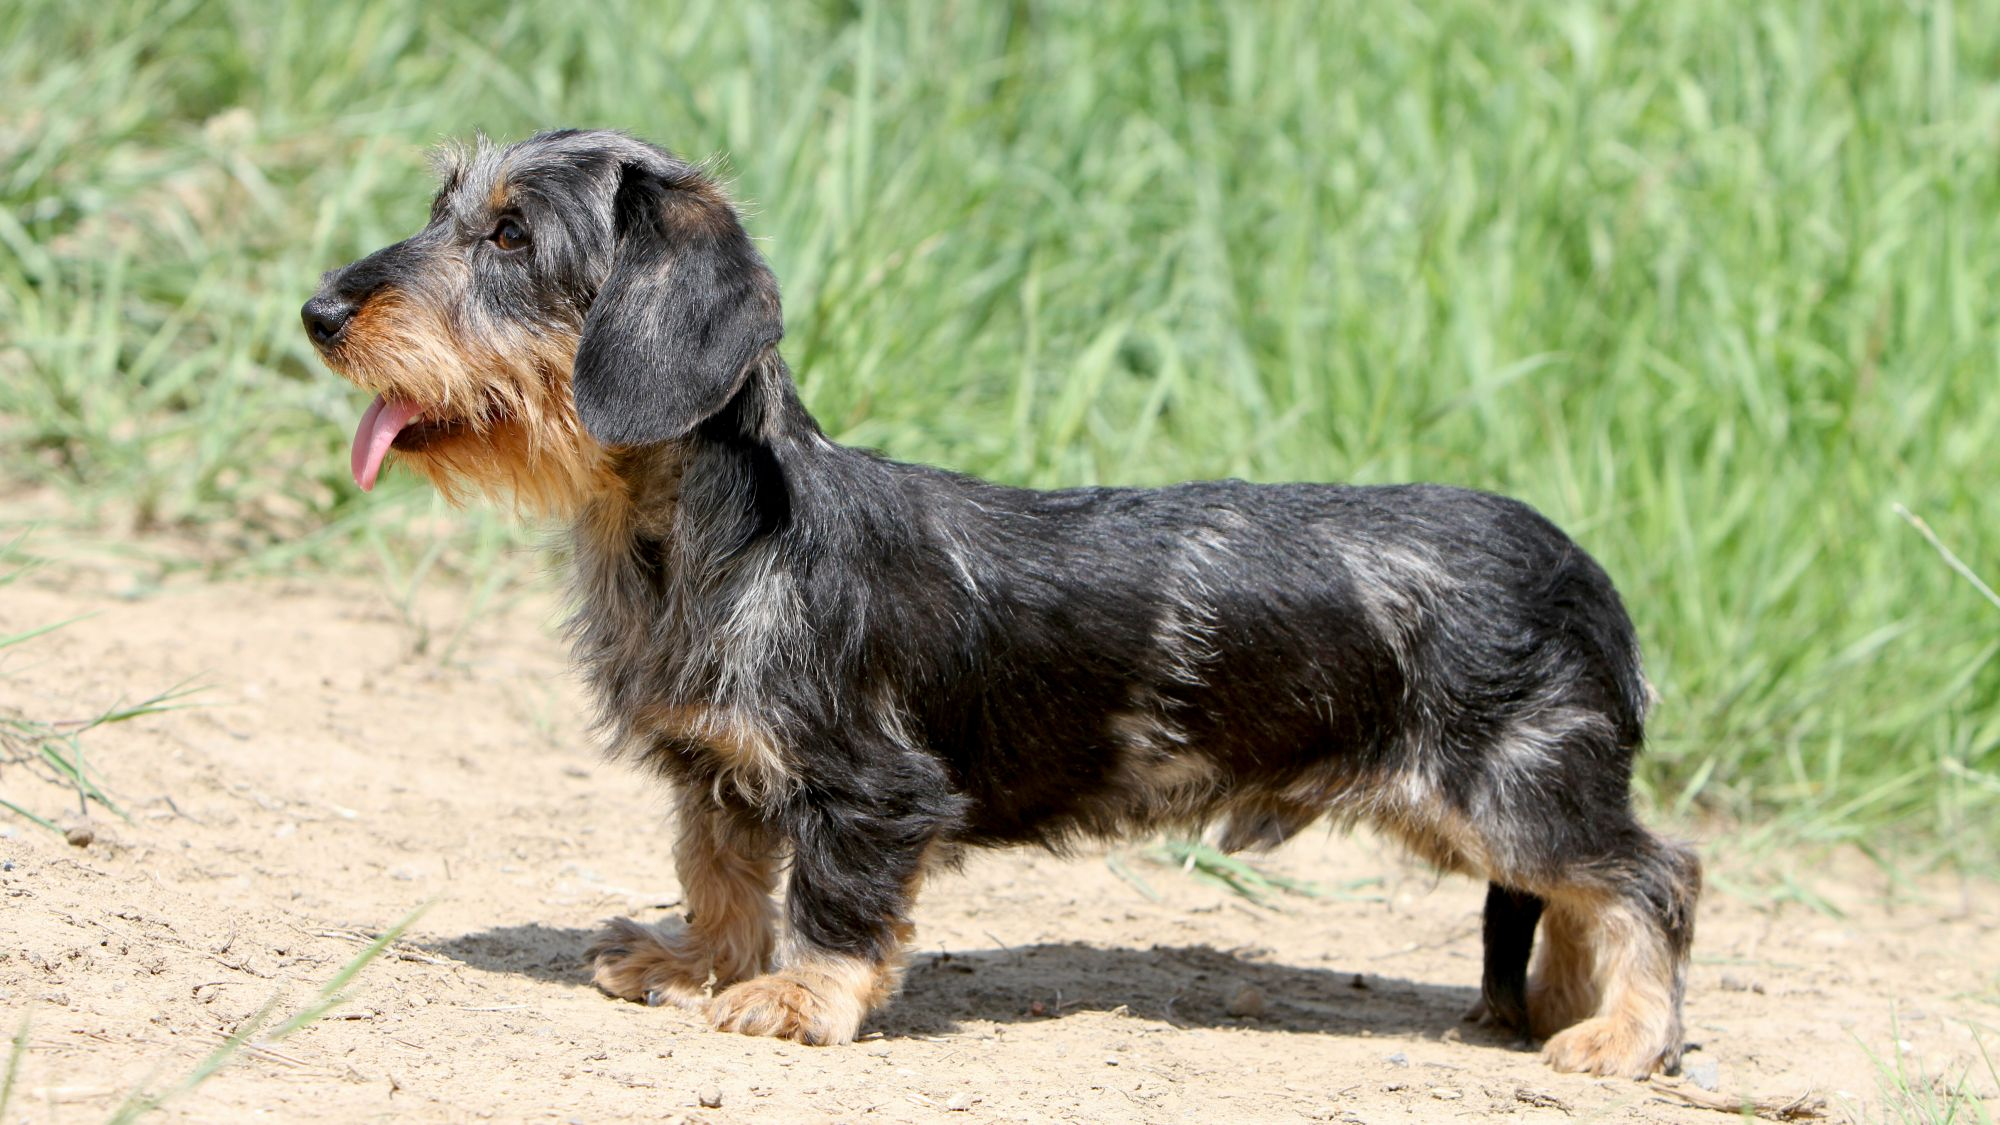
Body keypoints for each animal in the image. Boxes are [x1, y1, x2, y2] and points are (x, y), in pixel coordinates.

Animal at [304, 127, 1696, 1072]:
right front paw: (694, 963)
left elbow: (831, 903)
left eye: (511, 237)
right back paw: (1577, 1009)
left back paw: (1620, 1035)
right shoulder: (718, 773)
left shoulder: (871, 790)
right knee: (1593, 898)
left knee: (1652, 877)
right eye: (445, 208)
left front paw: (797, 998)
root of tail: (1589, 577)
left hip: (1510, 792)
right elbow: (719, 876)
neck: (710, 537)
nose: (316, 312)